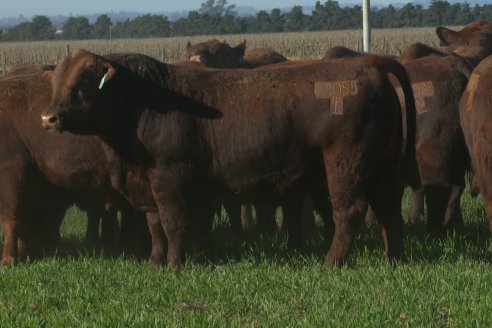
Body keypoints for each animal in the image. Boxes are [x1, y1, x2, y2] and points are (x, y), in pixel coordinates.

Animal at [41, 49, 416, 266]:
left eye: (83, 83)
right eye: (56, 81)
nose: (49, 117)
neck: (145, 100)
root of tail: (368, 63)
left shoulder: (171, 179)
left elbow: (174, 223)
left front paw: (175, 264)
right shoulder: (147, 184)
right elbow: (155, 226)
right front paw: (155, 261)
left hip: (344, 165)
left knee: (350, 211)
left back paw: (331, 262)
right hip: (381, 170)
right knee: (388, 210)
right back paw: (394, 257)